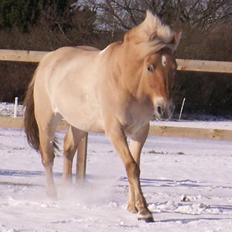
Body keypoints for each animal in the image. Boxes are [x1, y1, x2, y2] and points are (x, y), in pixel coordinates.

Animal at [23, 11, 181, 223]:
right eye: (150, 67)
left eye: (174, 67)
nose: (165, 109)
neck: (126, 82)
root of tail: (46, 61)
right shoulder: (114, 130)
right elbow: (131, 165)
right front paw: (144, 211)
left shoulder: (140, 131)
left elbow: (136, 166)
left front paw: (133, 207)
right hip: (47, 120)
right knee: (48, 156)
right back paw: (53, 195)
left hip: (79, 124)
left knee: (68, 150)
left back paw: (69, 192)